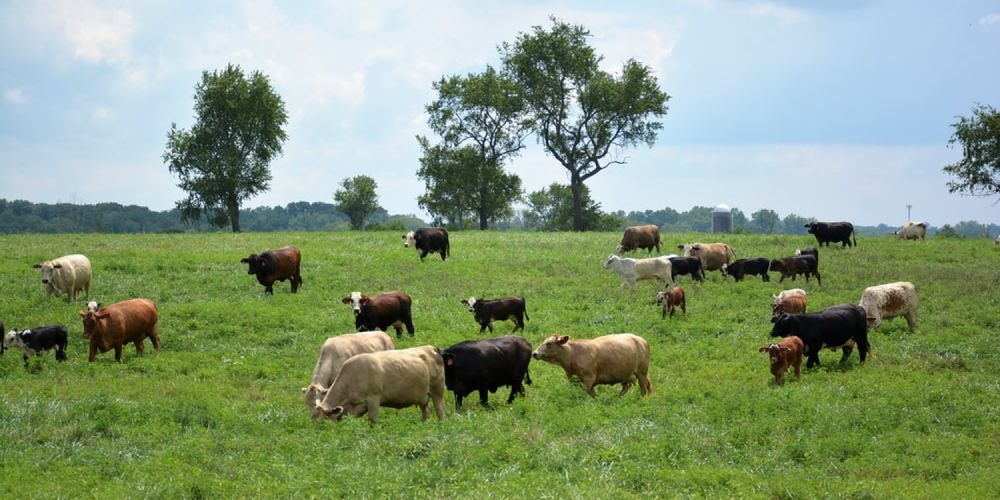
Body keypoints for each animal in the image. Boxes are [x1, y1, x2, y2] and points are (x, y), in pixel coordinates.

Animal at [312, 345, 446, 426]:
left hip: (437, 391)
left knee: (440, 412)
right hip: (423, 397)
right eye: (312, 418)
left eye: (322, 421)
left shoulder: (374, 399)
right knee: (425, 413)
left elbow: (372, 421)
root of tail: (430, 348)